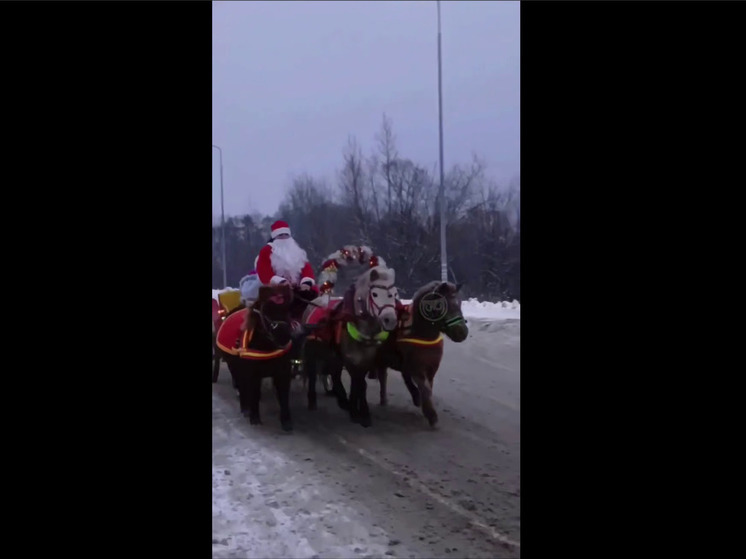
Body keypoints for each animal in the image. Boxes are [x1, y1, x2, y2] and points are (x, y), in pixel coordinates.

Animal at [300, 264, 398, 426]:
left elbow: (360, 383)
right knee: (313, 373)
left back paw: (342, 399)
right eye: (375, 294)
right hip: (313, 351)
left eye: (395, 294)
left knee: (334, 374)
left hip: (332, 356)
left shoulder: (366, 359)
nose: (390, 320)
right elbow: (358, 383)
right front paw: (356, 412)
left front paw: (361, 411)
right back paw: (313, 400)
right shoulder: (349, 358)